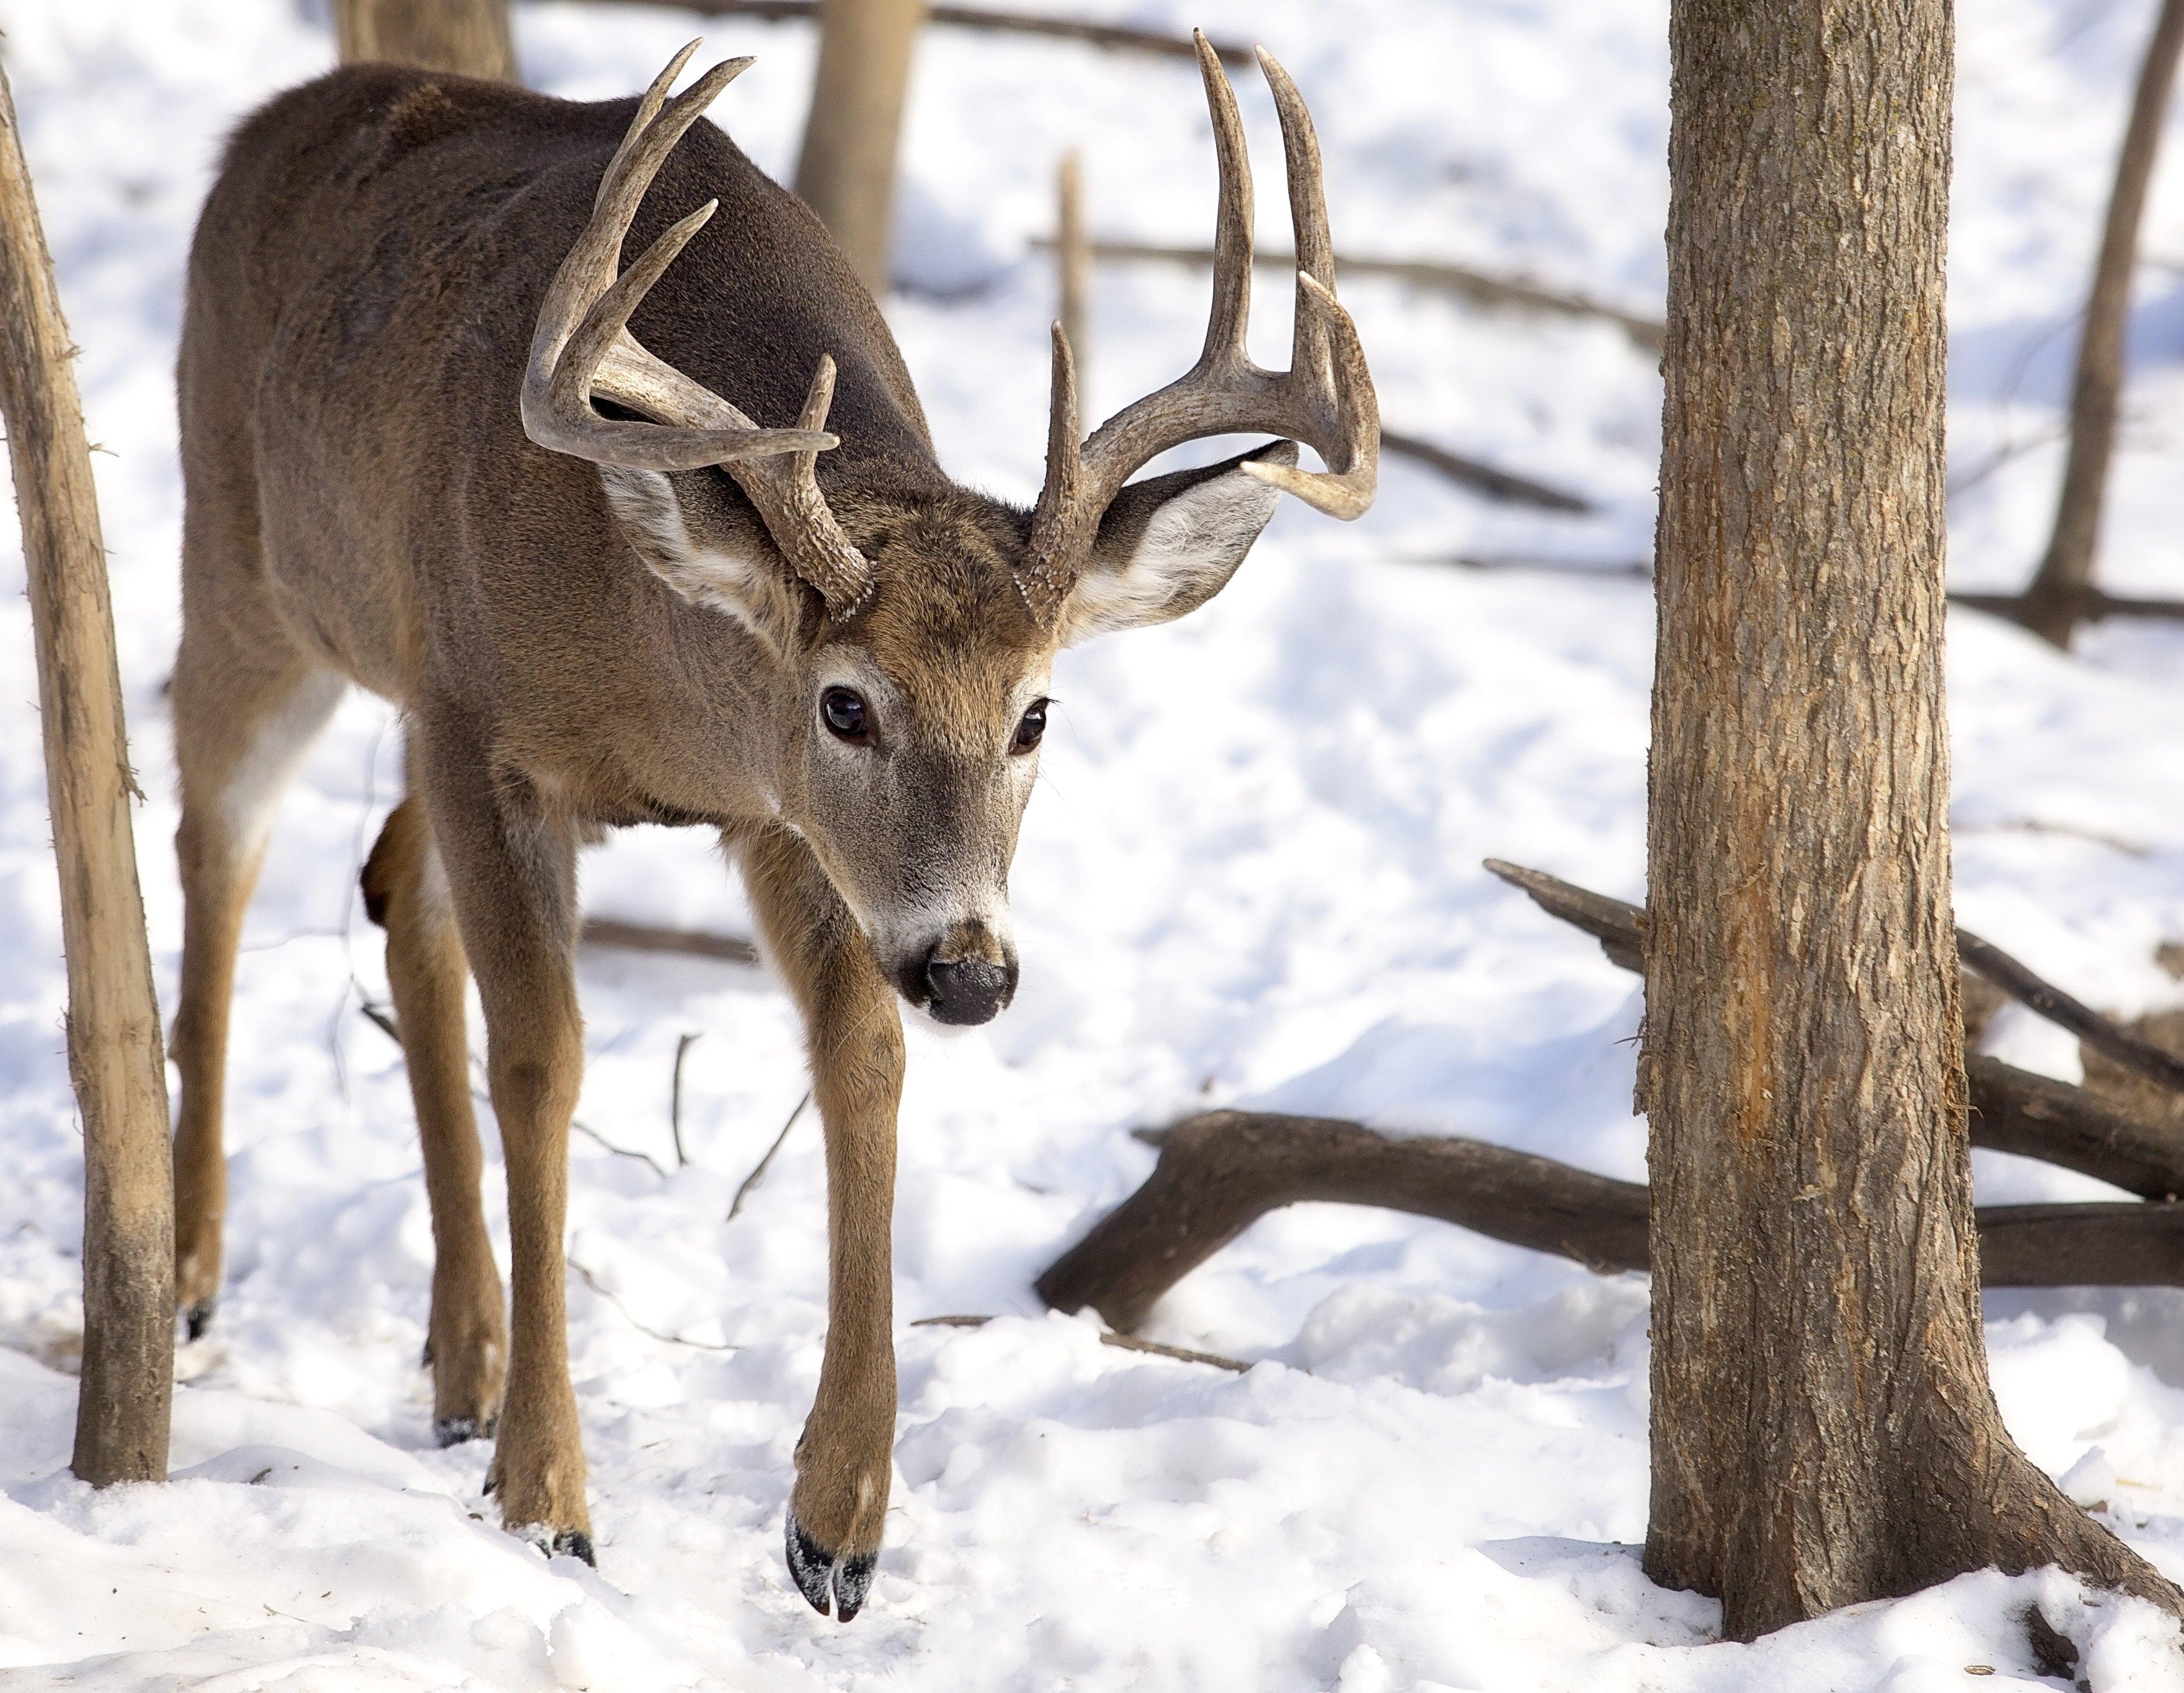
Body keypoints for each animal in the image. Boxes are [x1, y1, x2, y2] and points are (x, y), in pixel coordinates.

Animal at [170, 26, 1371, 1616]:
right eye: (845, 705)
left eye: (1036, 714)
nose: (971, 971)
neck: (653, 669)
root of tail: (270, 125)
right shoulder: (483, 722)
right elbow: (542, 1058)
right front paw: (550, 1500)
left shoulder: (770, 823)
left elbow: (859, 1054)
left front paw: (836, 1523)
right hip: (252, 571)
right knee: (214, 841)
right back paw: (188, 1274)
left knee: (391, 891)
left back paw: (461, 1359)